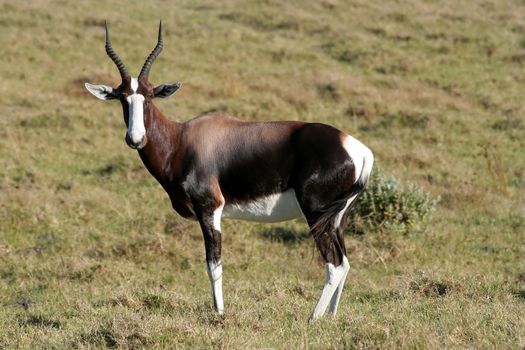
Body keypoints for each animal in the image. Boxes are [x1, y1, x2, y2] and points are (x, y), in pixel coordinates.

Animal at [85, 21, 372, 320]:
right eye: (122, 98)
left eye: (150, 96)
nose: (135, 138)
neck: (182, 140)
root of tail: (358, 149)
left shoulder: (210, 208)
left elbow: (214, 263)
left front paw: (219, 312)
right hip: (338, 218)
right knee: (345, 262)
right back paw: (332, 316)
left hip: (316, 214)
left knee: (334, 264)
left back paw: (313, 317)